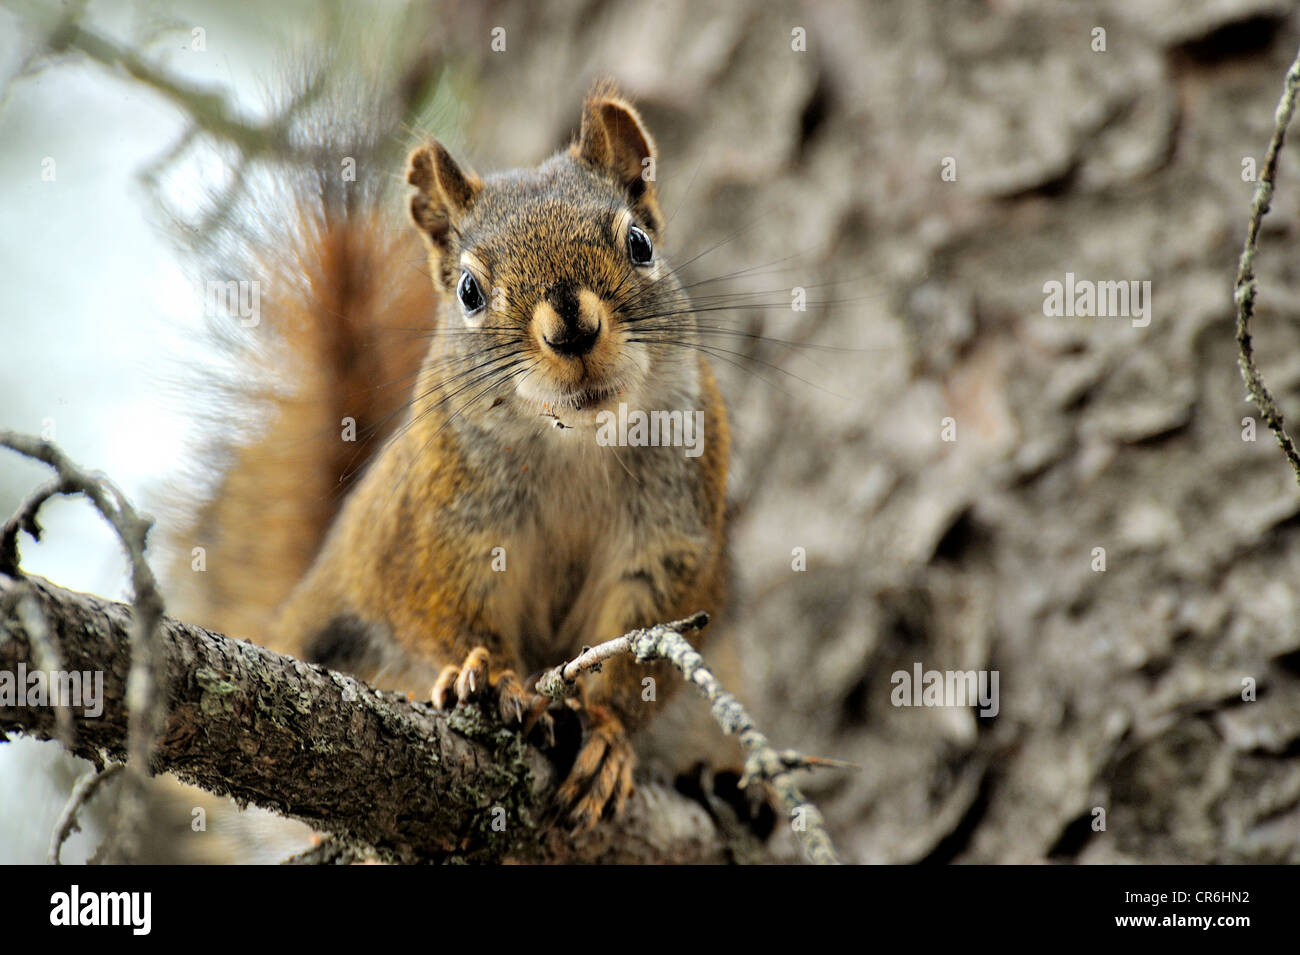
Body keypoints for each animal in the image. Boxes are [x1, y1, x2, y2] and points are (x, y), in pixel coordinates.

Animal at [175, 78, 733, 831]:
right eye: (469, 291)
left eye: (640, 244)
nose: (572, 329)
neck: (575, 444)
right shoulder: (431, 534)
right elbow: (440, 609)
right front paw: (487, 674)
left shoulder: (672, 537)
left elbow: (640, 653)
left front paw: (607, 734)